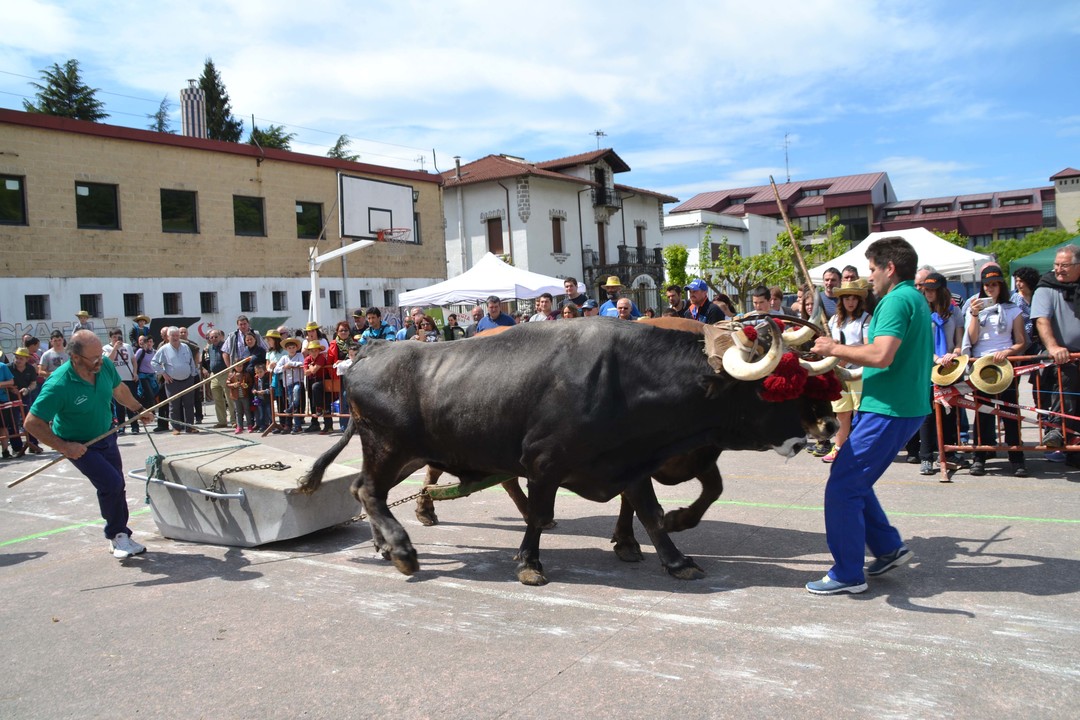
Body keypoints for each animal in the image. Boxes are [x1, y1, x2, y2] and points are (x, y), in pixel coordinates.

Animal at [299, 316, 838, 585]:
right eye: (774, 387)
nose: (829, 423)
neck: (624, 379)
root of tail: (369, 352)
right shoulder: (544, 462)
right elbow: (539, 515)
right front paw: (529, 564)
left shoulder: (630, 462)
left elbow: (650, 513)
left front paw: (676, 558)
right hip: (388, 446)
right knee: (369, 491)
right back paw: (403, 551)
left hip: (404, 453)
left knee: (362, 489)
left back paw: (386, 544)